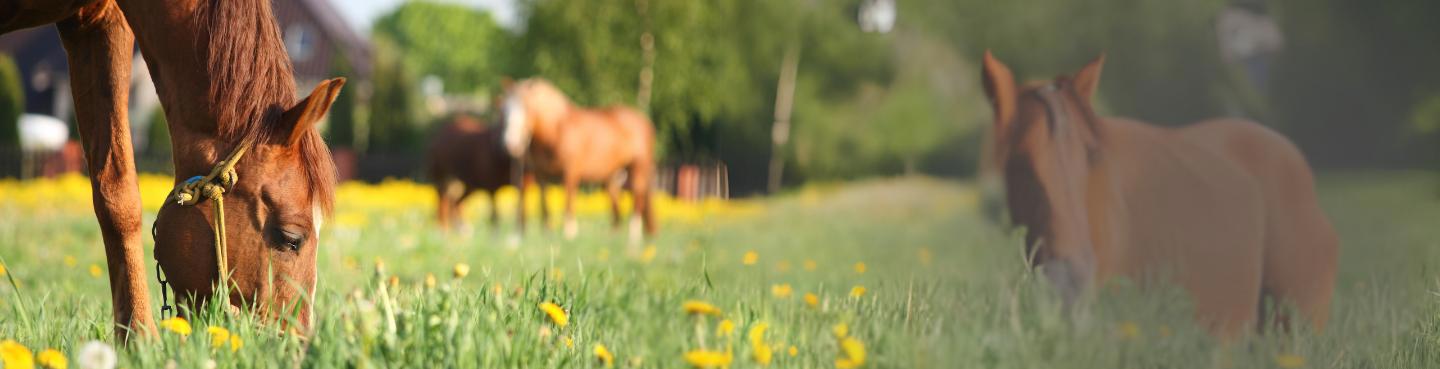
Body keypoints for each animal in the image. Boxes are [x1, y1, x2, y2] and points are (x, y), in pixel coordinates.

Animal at [495, 77, 653, 243]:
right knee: (616, 205)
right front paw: (547, 233)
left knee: (638, 197)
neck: (555, 131)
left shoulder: (571, 171)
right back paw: (613, 237)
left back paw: (633, 237)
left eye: (527, 108)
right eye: (504, 111)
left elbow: (568, 200)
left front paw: (569, 234)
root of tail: (644, 119)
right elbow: (544, 204)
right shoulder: (541, 174)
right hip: (613, 175)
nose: (511, 143)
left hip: (639, 167)